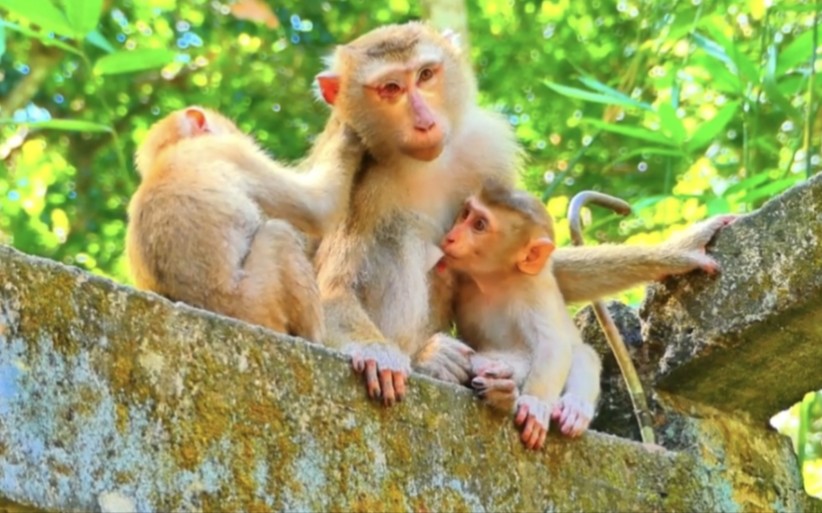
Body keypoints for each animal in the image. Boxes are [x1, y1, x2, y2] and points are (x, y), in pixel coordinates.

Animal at [125, 106, 364, 342]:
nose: (239, 133)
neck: (165, 154)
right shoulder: (233, 151)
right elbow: (318, 207)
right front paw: (347, 130)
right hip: (257, 302)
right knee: (279, 234)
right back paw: (312, 337)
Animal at [308, 22, 732, 406]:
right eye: (391, 89)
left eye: (425, 75)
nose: (425, 120)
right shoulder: (360, 170)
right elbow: (332, 288)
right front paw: (379, 352)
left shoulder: (485, 146)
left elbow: (537, 263)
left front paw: (678, 251)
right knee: (399, 235)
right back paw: (428, 358)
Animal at [438, 181, 604, 448]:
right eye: (465, 214)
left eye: (479, 225)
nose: (451, 236)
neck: (496, 280)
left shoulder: (534, 288)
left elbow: (553, 346)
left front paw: (536, 401)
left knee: (582, 353)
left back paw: (573, 407)